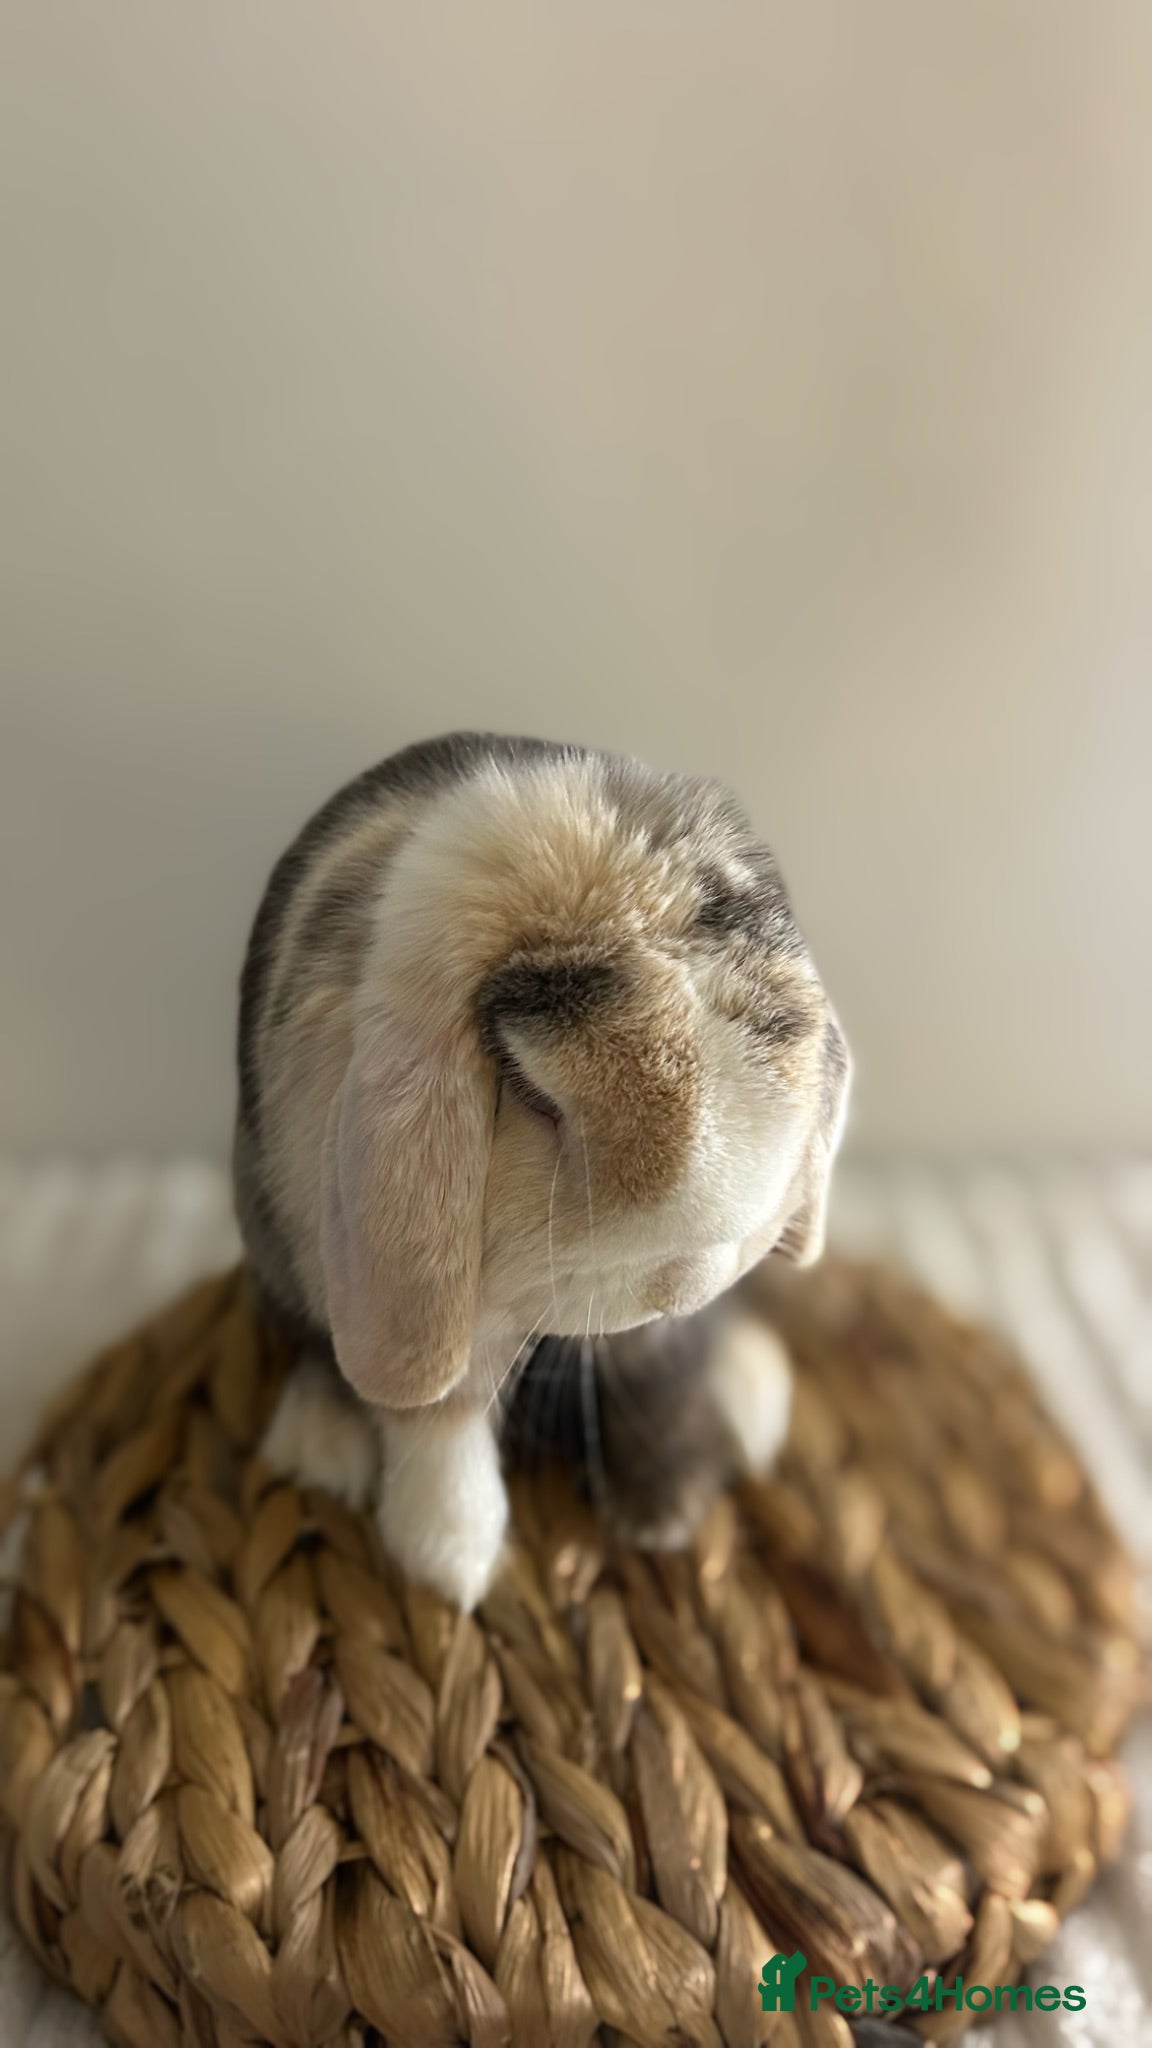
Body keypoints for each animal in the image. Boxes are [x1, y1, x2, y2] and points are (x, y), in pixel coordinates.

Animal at [234, 731, 850, 1609]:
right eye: (531, 1092)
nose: (683, 1279)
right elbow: (441, 1421)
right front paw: (451, 1564)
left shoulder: (657, 1339)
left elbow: (665, 1374)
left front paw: (667, 1515)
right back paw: (321, 1446)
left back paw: (755, 1394)